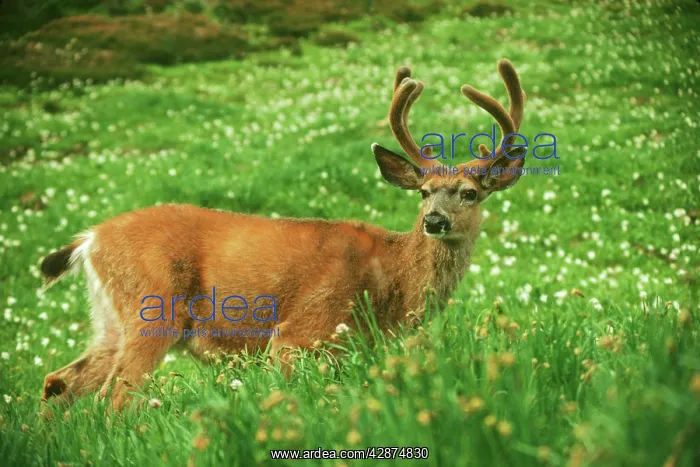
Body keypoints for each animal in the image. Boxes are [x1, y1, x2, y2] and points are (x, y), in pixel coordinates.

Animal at [39, 59, 526, 412]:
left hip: (110, 320)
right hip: (152, 307)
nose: (435, 221)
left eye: (470, 193)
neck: (391, 282)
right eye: (424, 192)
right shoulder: (300, 332)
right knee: (116, 396)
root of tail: (90, 239)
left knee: (59, 380)